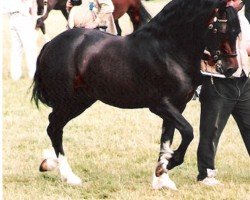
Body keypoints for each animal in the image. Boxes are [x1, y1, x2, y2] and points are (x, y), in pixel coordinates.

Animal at [31, 0, 240, 190]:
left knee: (55, 126)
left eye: (237, 31)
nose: (231, 69)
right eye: (220, 30)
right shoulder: (160, 105)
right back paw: (69, 176)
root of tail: (51, 44)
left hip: (81, 100)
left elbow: (167, 139)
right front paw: (168, 164)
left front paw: (161, 177)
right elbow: (188, 131)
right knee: (54, 127)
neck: (169, 51)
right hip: (69, 101)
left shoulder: (177, 106)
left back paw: (49, 163)